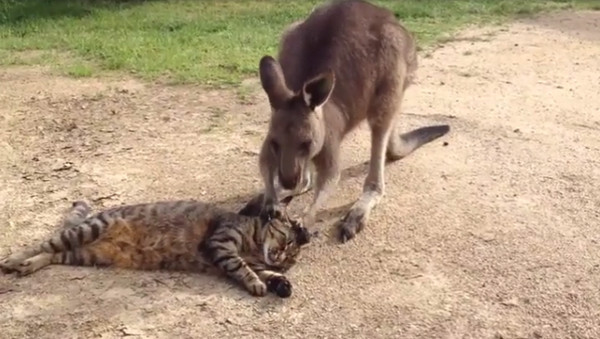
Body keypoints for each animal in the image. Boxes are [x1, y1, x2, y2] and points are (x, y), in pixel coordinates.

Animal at [0, 201, 310, 298]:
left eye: (290, 260)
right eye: (286, 244)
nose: (281, 260)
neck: (255, 246)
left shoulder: (256, 261)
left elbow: (267, 274)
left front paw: (281, 284)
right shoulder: (221, 243)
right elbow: (242, 268)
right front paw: (257, 284)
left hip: (85, 254)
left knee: (52, 254)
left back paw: (28, 266)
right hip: (88, 230)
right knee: (43, 243)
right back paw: (13, 260)